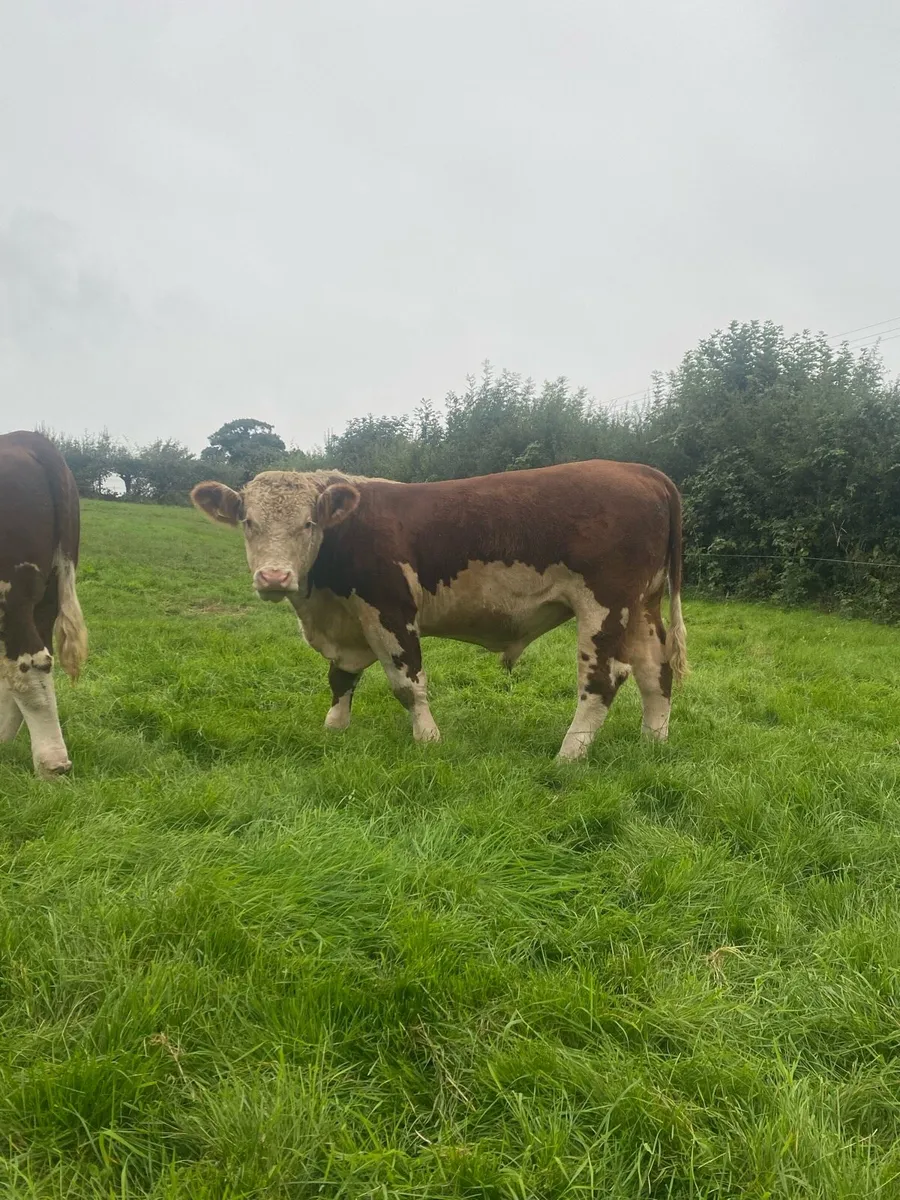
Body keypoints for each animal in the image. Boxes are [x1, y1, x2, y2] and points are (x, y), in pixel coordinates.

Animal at [191, 459, 687, 760]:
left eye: (308, 522)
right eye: (248, 521)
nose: (274, 577)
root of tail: (641, 471)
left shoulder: (390, 611)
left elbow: (406, 683)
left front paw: (428, 738)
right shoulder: (347, 622)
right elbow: (341, 677)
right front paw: (334, 728)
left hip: (605, 606)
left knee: (604, 678)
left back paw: (569, 754)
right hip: (643, 604)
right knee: (654, 670)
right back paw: (653, 743)